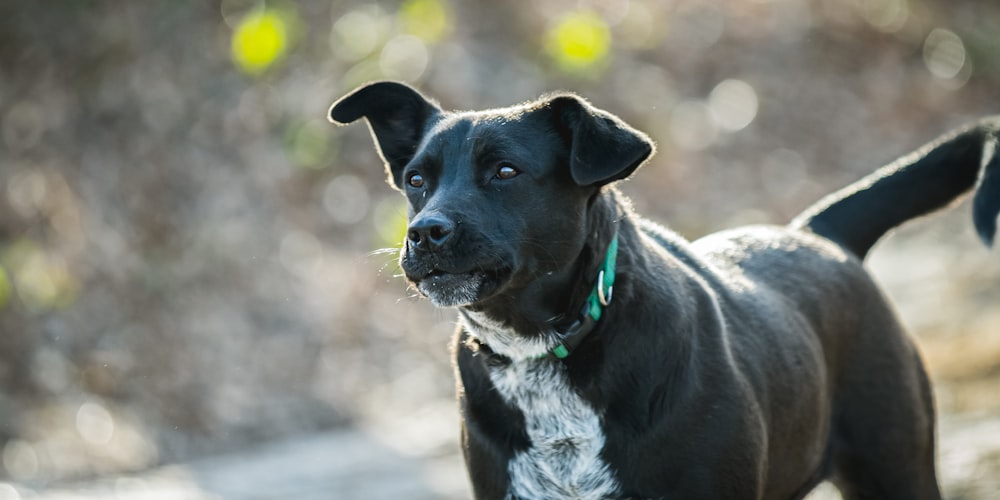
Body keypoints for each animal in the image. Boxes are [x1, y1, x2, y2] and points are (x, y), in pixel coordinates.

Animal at [330, 80, 1000, 498]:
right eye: (416, 180)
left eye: (505, 171)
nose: (424, 232)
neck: (543, 351)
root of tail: (817, 233)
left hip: (897, 467)